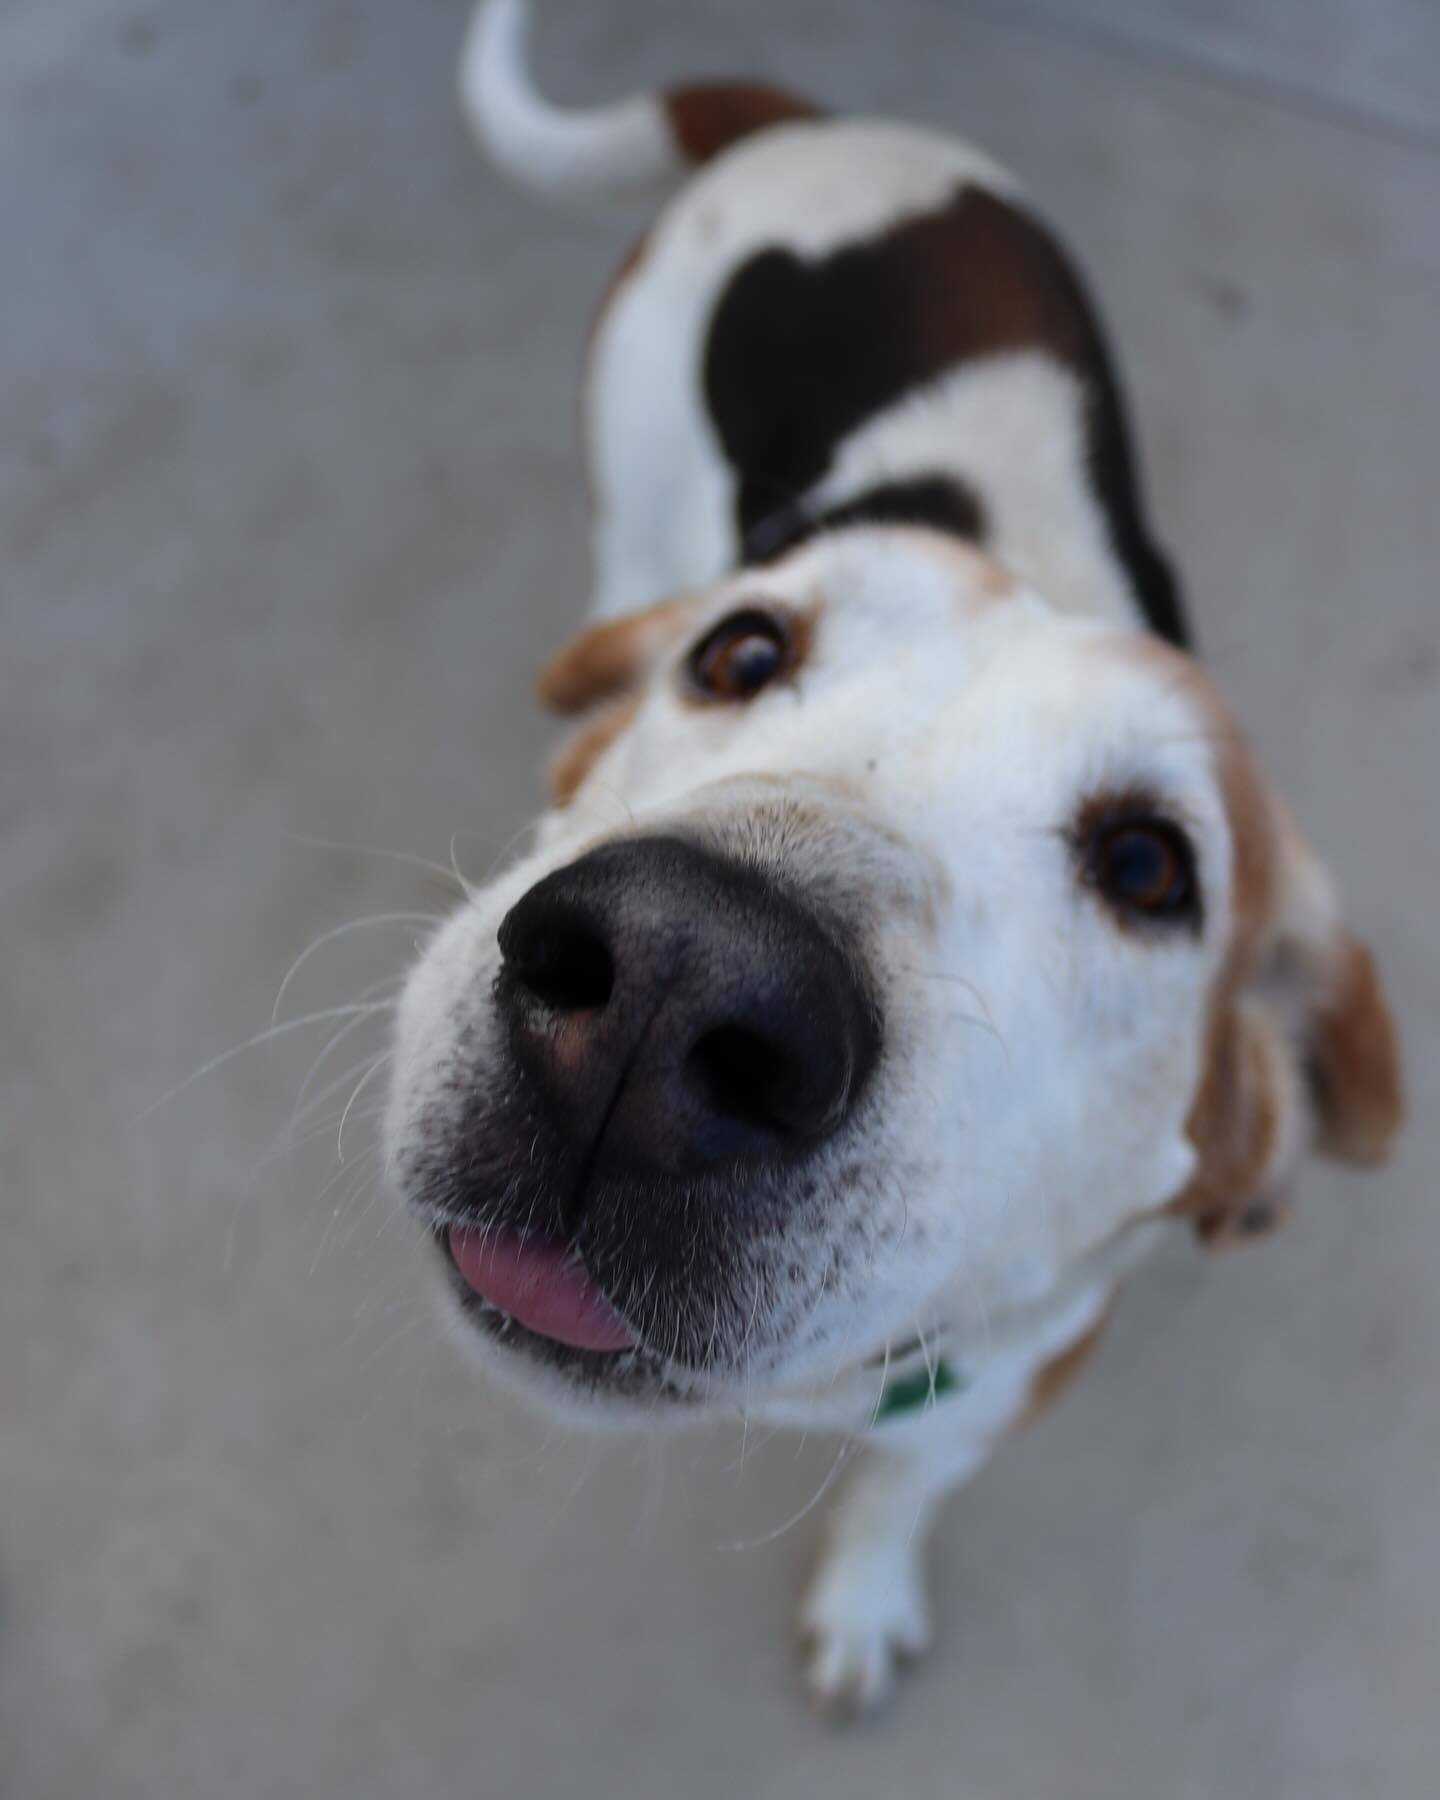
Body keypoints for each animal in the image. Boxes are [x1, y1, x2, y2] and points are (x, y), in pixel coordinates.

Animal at [385, 0, 1404, 1713]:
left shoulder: (996, 1401)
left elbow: (893, 1493)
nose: (670, 979)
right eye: (739, 654)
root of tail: (811, 125)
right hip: (631, 465)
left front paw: (863, 1597)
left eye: (1153, 869)